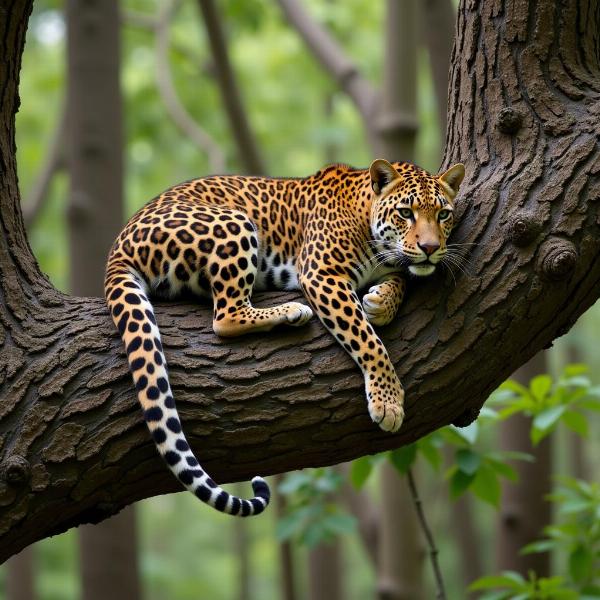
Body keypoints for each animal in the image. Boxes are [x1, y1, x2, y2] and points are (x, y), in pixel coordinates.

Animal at [105, 158, 466, 516]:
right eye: (405, 213)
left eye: (443, 214)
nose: (430, 248)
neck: (364, 215)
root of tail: (118, 246)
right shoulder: (323, 274)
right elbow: (367, 339)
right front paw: (387, 400)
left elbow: (401, 279)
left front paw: (381, 303)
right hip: (234, 223)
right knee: (225, 315)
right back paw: (292, 311)